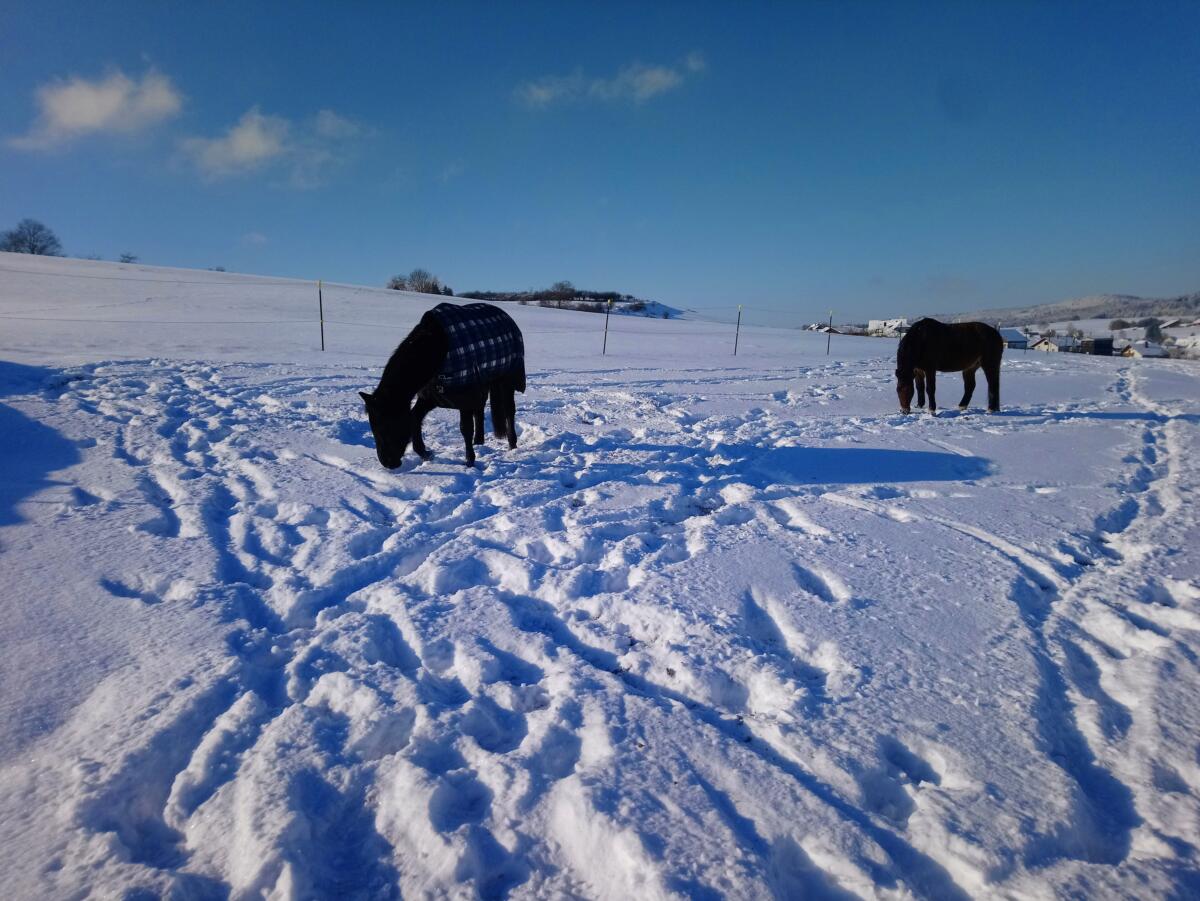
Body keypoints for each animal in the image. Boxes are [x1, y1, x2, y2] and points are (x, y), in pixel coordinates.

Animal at [360, 303, 525, 468]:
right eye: (373, 428)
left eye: (387, 427)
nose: (387, 463)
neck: (437, 348)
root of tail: (507, 317)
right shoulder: (431, 396)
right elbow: (415, 418)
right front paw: (425, 453)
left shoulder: (465, 395)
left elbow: (465, 428)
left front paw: (469, 461)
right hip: (483, 383)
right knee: (479, 410)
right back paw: (478, 442)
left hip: (507, 381)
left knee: (509, 411)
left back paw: (512, 445)